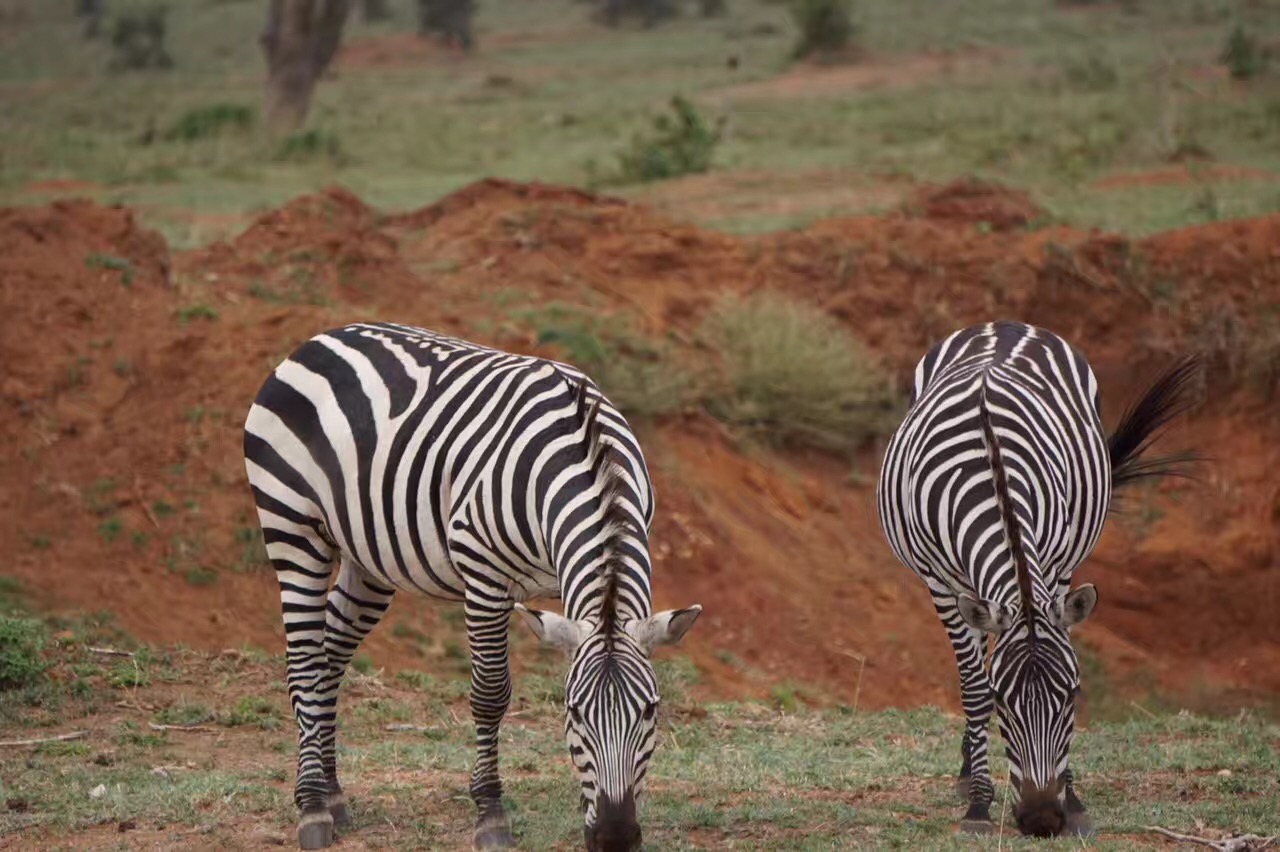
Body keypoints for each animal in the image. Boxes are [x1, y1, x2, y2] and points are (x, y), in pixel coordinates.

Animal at [240, 322, 701, 844]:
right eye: (574, 713)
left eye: (651, 711)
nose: (614, 837)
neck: (588, 455)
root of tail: (320, 338)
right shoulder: (483, 576)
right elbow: (490, 694)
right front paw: (490, 813)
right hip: (293, 529)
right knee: (305, 663)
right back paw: (313, 806)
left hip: (369, 559)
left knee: (330, 656)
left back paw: (334, 795)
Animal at [875, 318, 1192, 834]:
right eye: (1003, 702)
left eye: (1073, 696)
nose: (1043, 819)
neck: (993, 479)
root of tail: (1002, 324)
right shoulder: (940, 584)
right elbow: (974, 687)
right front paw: (979, 803)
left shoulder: (1056, 565)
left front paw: (1075, 798)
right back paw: (968, 772)